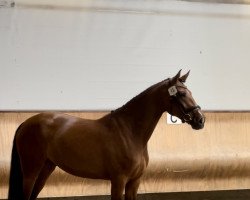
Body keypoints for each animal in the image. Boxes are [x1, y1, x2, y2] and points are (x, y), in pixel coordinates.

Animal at [8, 70, 205, 200]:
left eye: (190, 92)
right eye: (181, 93)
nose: (200, 120)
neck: (129, 132)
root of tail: (25, 123)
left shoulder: (134, 182)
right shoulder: (118, 181)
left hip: (46, 168)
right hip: (31, 171)